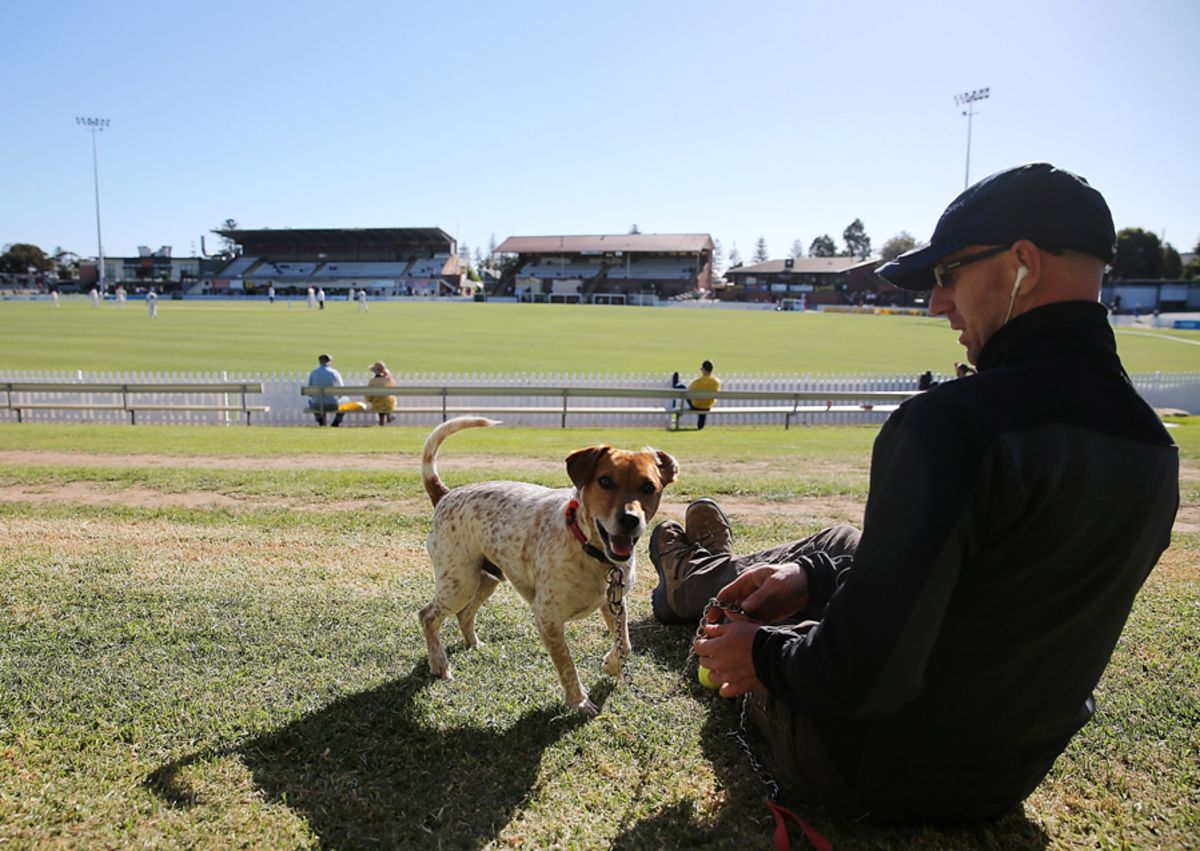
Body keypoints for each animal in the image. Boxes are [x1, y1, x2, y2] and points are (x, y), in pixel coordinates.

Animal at [415, 415, 676, 715]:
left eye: (649, 487)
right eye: (605, 481)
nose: (630, 519)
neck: (587, 547)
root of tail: (445, 495)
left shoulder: (614, 602)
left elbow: (626, 644)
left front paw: (612, 667)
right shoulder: (547, 618)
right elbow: (567, 665)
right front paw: (579, 701)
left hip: (486, 579)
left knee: (464, 614)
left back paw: (474, 643)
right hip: (459, 583)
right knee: (427, 615)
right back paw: (439, 663)